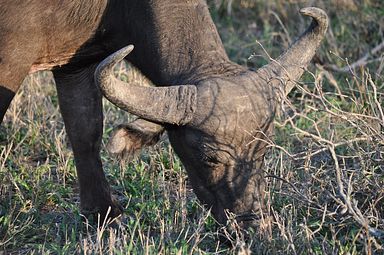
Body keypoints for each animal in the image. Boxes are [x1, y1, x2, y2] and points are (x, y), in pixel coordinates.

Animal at [0, 0, 328, 227]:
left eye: (263, 152)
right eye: (210, 158)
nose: (252, 225)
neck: (111, 7)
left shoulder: (76, 65)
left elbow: (85, 131)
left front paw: (102, 213)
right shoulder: (10, 61)